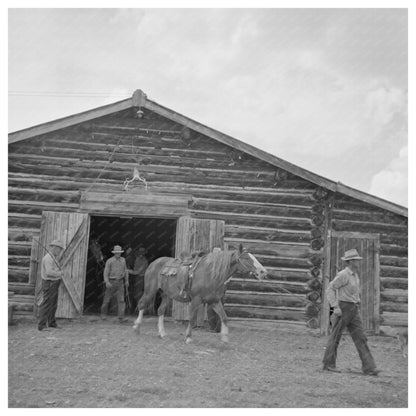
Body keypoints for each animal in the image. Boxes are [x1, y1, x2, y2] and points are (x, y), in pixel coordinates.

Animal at [133, 245, 270, 342]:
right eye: (246, 258)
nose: (263, 272)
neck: (210, 274)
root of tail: (154, 263)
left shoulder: (214, 301)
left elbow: (224, 317)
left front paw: (225, 337)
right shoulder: (196, 300)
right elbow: (192, 318)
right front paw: (188, 337)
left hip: (166, 295)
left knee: (160, 310)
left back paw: (162, 333)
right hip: (150, 291)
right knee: (142, 305)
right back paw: (136, 327)